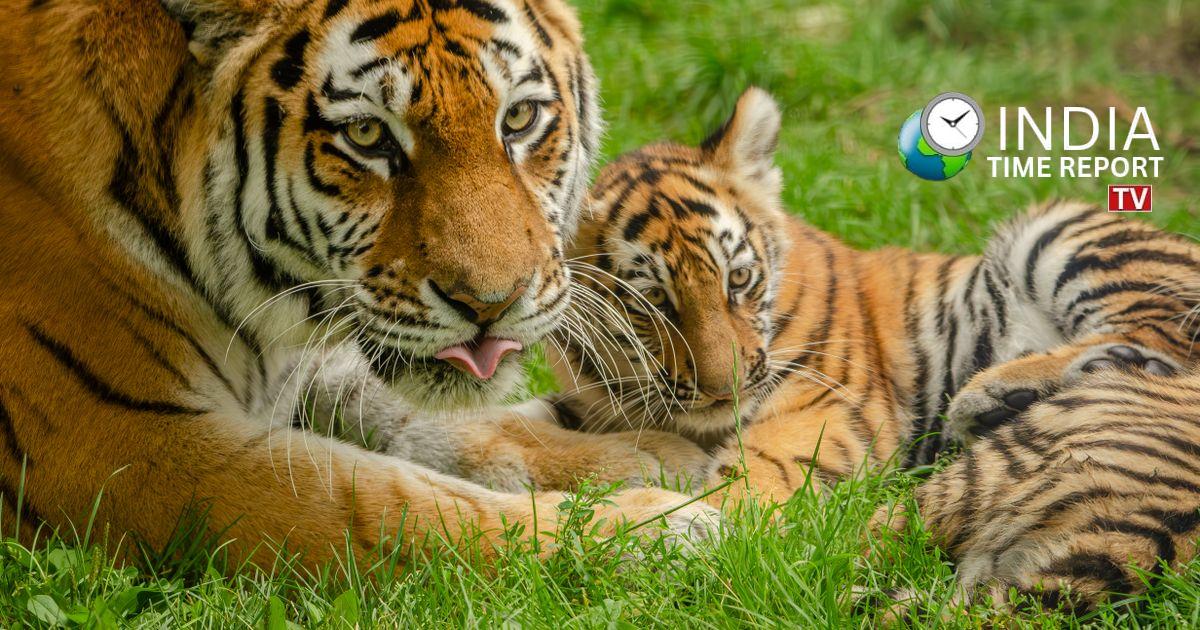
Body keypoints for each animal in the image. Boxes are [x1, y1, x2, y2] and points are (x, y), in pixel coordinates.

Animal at [0, 0, 721, 569]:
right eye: (367, 134)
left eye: (518, 120)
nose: (492, 304)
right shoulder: (125, 443)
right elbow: (391, 506)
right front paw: (665, 530)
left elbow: (418, 417)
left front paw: (650, 456)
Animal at [542, 87, 1200, 506]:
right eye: (653, 301)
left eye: (739, 280)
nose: (725, 389)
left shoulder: (832, 403)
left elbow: (764, 466)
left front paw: (708, 522)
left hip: (1060, 231)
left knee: (1164, 338)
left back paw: (990, 394)